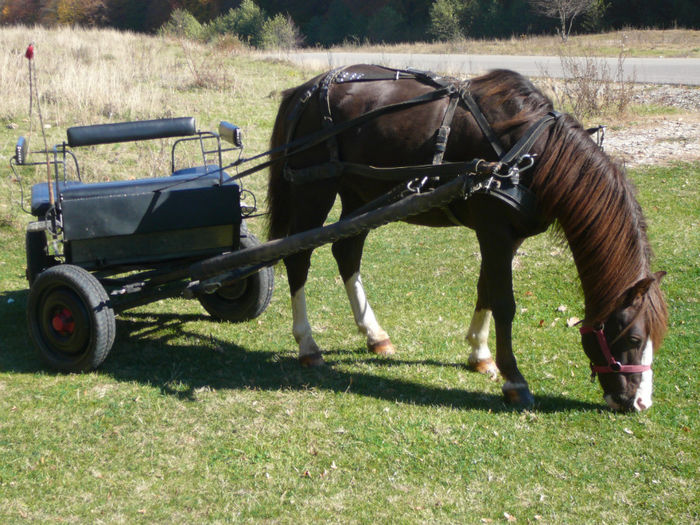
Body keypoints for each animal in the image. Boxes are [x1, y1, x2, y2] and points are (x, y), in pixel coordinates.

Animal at [264, 64, 668, 410]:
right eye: (633, 338)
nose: (639, 403)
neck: (532, 153)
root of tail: (305, 90)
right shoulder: (494, 231)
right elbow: (504, 302)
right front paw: (514, 380)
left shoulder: (507, 237)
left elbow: (485, 288)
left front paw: (480, 355)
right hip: (314, 190)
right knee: (297, 258)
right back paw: (308, 344)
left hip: (359, 195)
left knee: (346, 251)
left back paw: (374, 334)